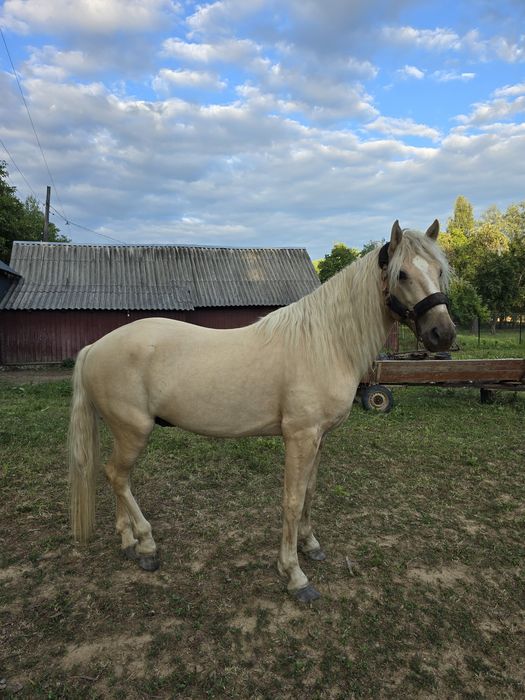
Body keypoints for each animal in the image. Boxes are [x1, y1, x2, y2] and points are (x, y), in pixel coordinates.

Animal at [68, 220, 455, 603]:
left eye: (438, 270)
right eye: (401, 274)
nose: (443, 334)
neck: (324, 343)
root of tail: (94, 347)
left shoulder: (319, 438)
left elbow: (310, 492)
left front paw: (311, 545)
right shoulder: (299, 437)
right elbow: (292, 500)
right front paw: (294, 574)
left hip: (123, 432)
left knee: (116, 476)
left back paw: (129, 542)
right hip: (134, 431)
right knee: (118, 476)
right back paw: (147, 545)